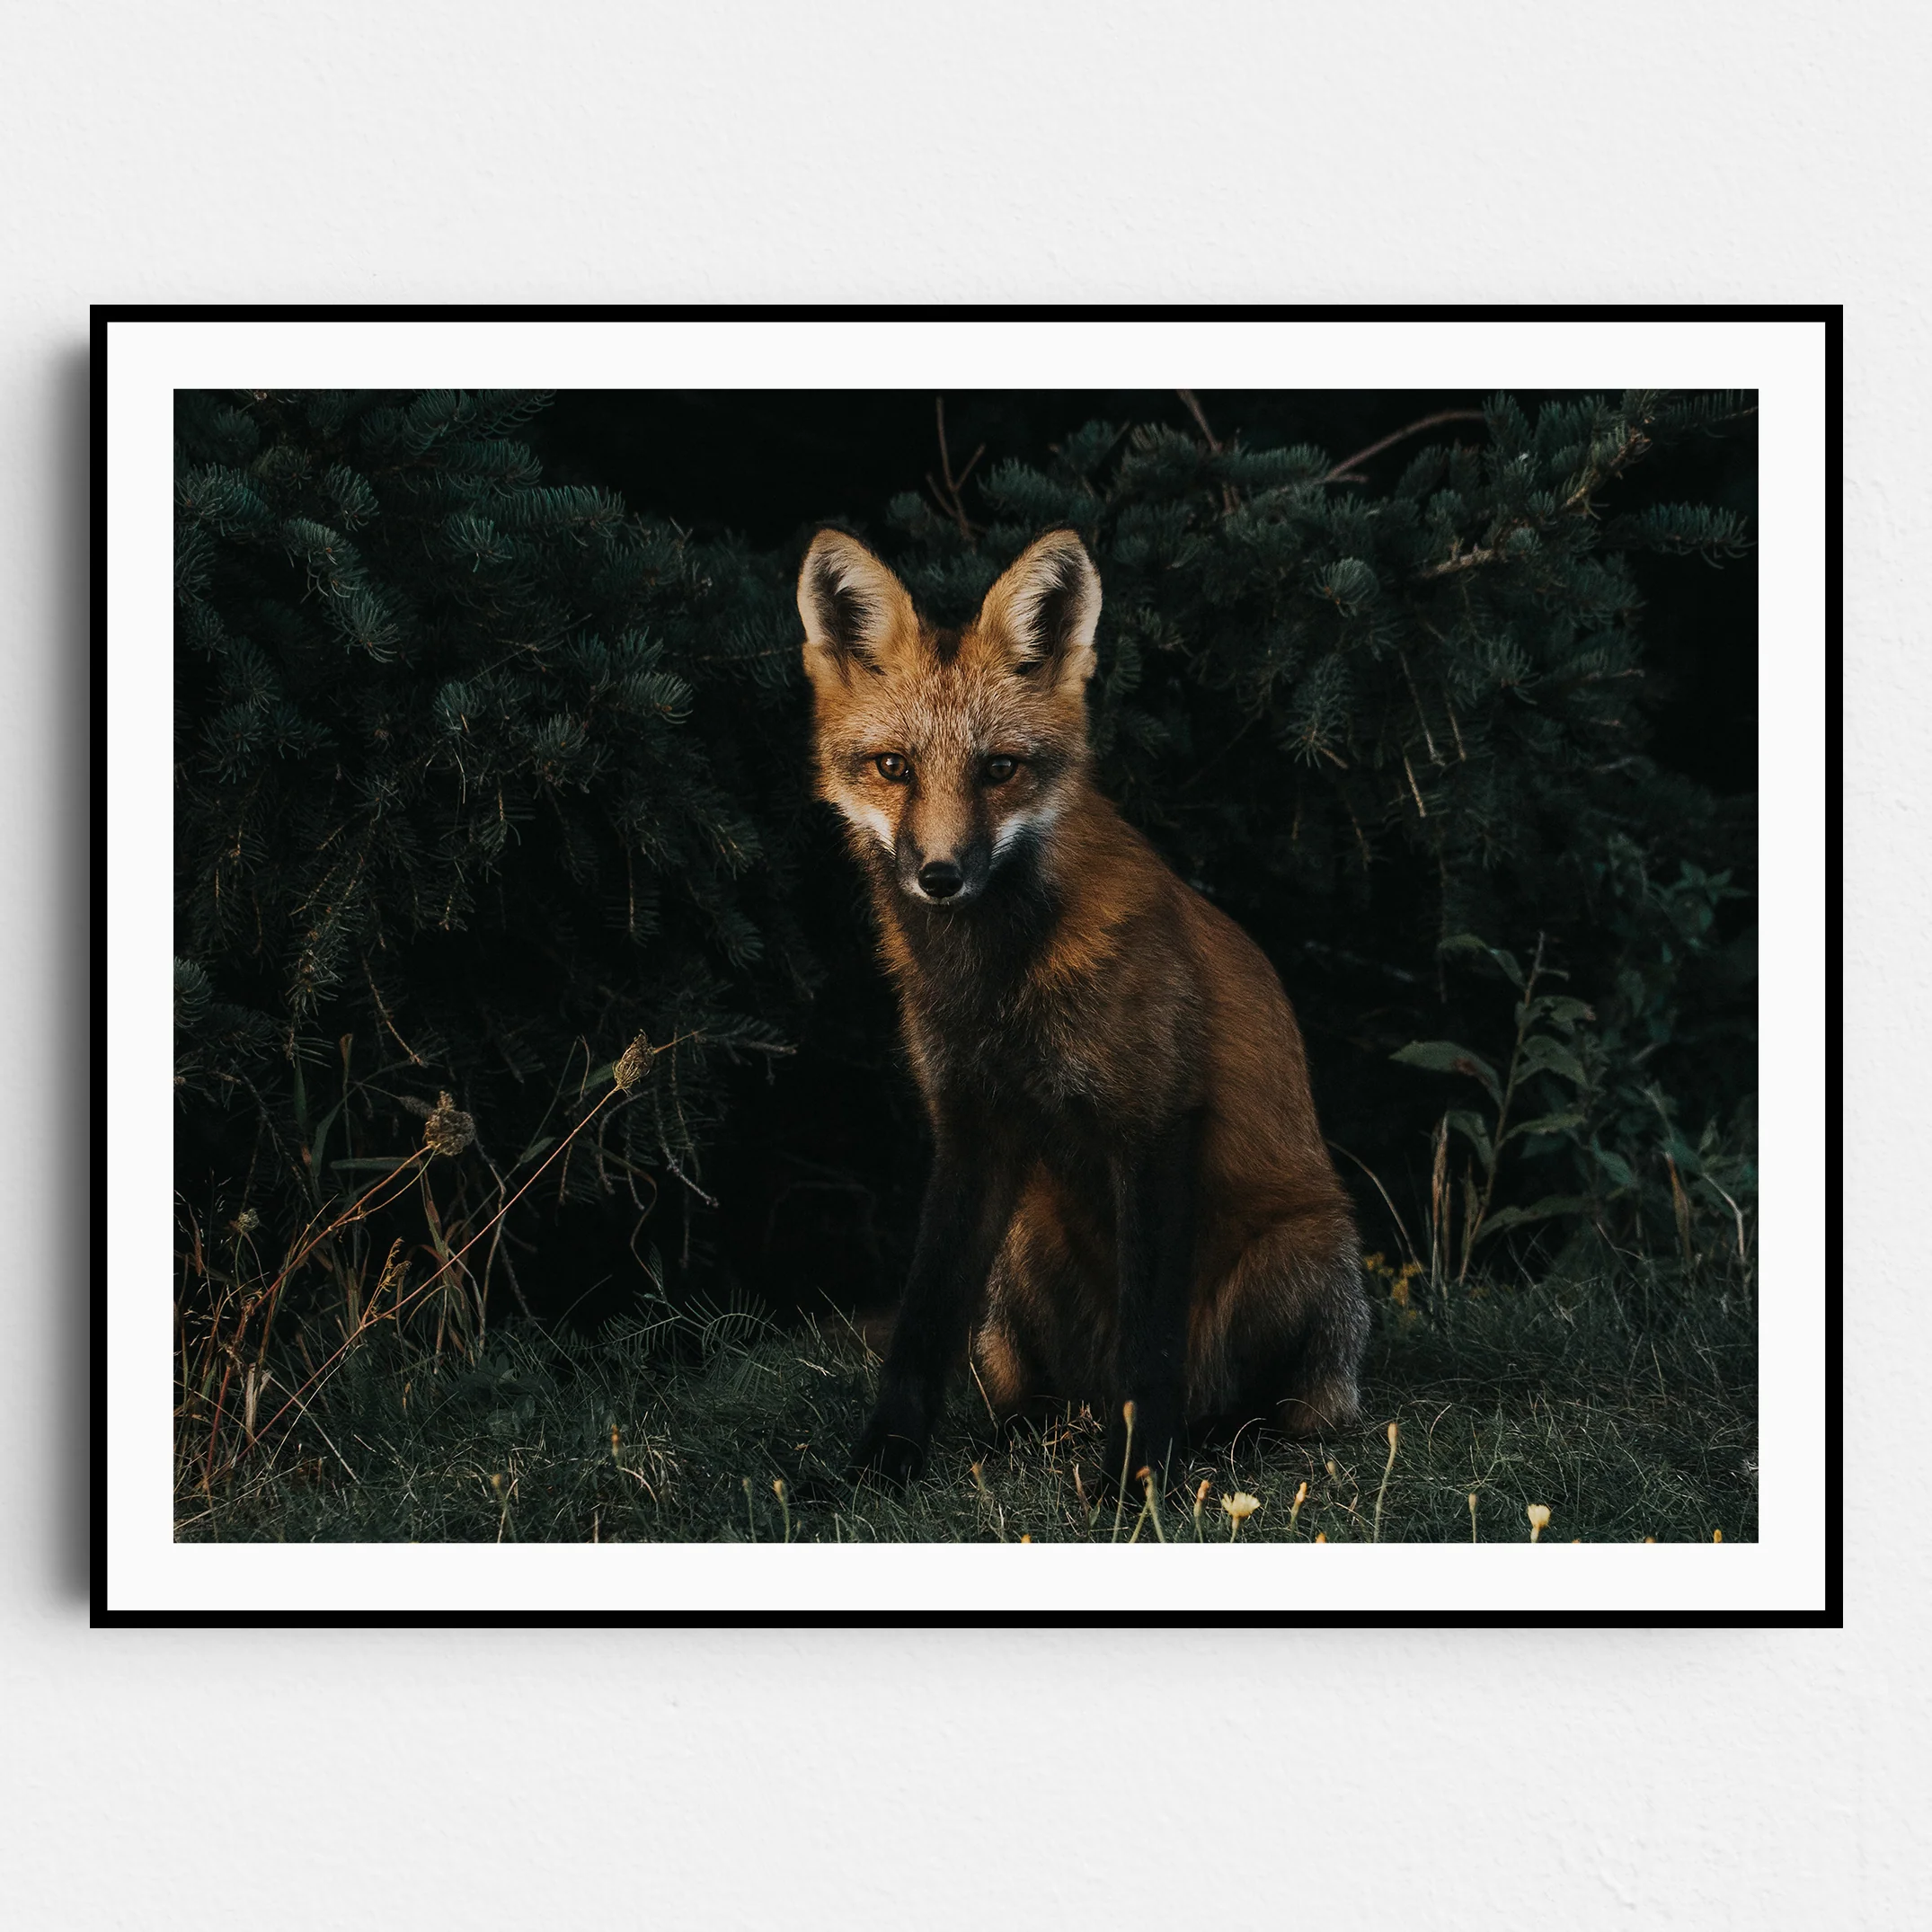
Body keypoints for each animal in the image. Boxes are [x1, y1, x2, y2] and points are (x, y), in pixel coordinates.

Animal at [797, 525, 1369, 1489]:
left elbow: (1151, 1344)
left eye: (1000, 769)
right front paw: (880, 1465)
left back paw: (1212, 1439)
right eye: (893, 768)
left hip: (1305, 1257)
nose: (940, 877)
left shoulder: (1156, 1121)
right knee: (1040, 1393)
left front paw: (1137, 1484)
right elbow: (919, 1325)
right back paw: (1028, 1432)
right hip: (1023, 1247)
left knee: (1276, 1410)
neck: (996, 986)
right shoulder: (969, 1125)